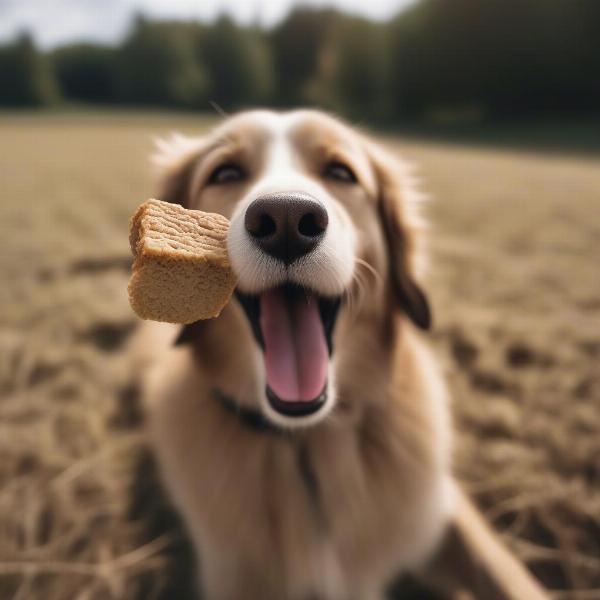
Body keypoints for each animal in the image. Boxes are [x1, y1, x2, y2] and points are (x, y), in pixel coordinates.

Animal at [132, 110, 548, 596]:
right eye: (226, 173)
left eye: (340, 172)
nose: (286, 219)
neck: (307, 443)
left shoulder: (441, 511)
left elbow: (506, 574)